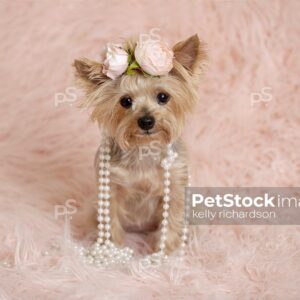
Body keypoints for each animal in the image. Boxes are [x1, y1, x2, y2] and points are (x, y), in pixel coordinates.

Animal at [74, 34, 206, 254]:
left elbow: (172, 218)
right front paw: (111, 249)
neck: (144, 147)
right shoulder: (110, 187)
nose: (146, 121)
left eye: (163, 96)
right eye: (125, 101)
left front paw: (165, 251)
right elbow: (110, 219)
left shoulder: (176, 185)